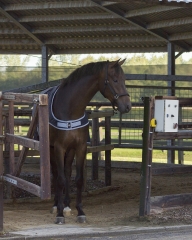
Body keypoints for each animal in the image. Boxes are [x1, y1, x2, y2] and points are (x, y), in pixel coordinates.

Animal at [47, 59, 130, 224]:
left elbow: (78, 179)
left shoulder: (80, 147)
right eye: (115, 80)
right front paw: (59, 214)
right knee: (56, 173)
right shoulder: (59, 147)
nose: (128, 106)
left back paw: (66, 206)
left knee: (67, 172)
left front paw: (80, 211)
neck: (70, 109)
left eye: (124, 80)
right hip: (51, 148)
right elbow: (60, 179)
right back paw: (56, 205)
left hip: (70, 150)